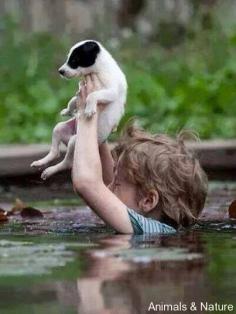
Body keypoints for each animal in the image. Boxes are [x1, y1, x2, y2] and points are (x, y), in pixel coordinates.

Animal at [31, 39, 128, 179]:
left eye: (75, 60)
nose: (60, 71)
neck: (100, 68)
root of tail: (69, 138)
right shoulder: (81, 91)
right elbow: (73, 100)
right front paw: (68, 110)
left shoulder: (111, 91)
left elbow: (92, 95)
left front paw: (89, 109)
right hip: (60, 128)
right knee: (55, 151)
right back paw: (41, 162)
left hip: (74, 142)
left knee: (67, 163)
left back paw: (50, 170)